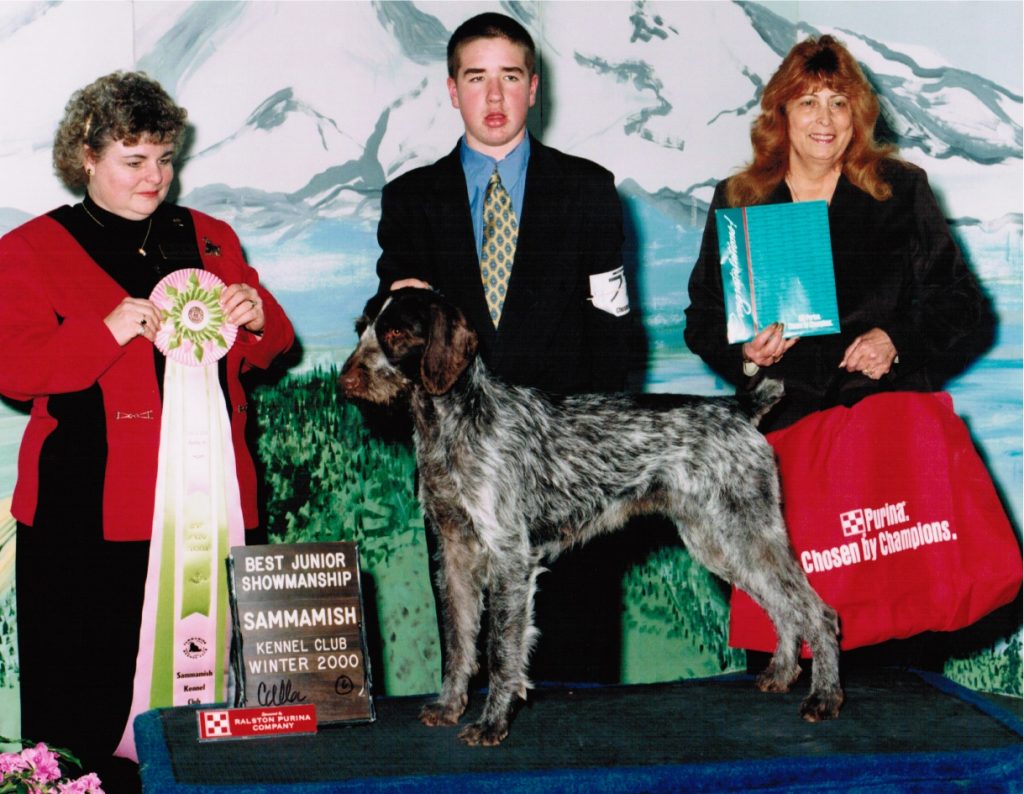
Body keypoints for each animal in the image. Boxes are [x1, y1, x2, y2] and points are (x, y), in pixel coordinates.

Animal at [339, 290, 843, 745]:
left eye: (396, 333)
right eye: (360, 328)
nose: (344, 381)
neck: (448, 423)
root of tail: (739, 408)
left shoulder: (508, 556)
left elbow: (501, 650)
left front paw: (491, 724)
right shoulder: (455, 554)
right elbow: (458, 641)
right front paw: (448, 707)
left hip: (747, 530)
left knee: (818, 613)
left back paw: (824, 697)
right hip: (718, 541)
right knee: (783, 608)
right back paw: (781, 674)